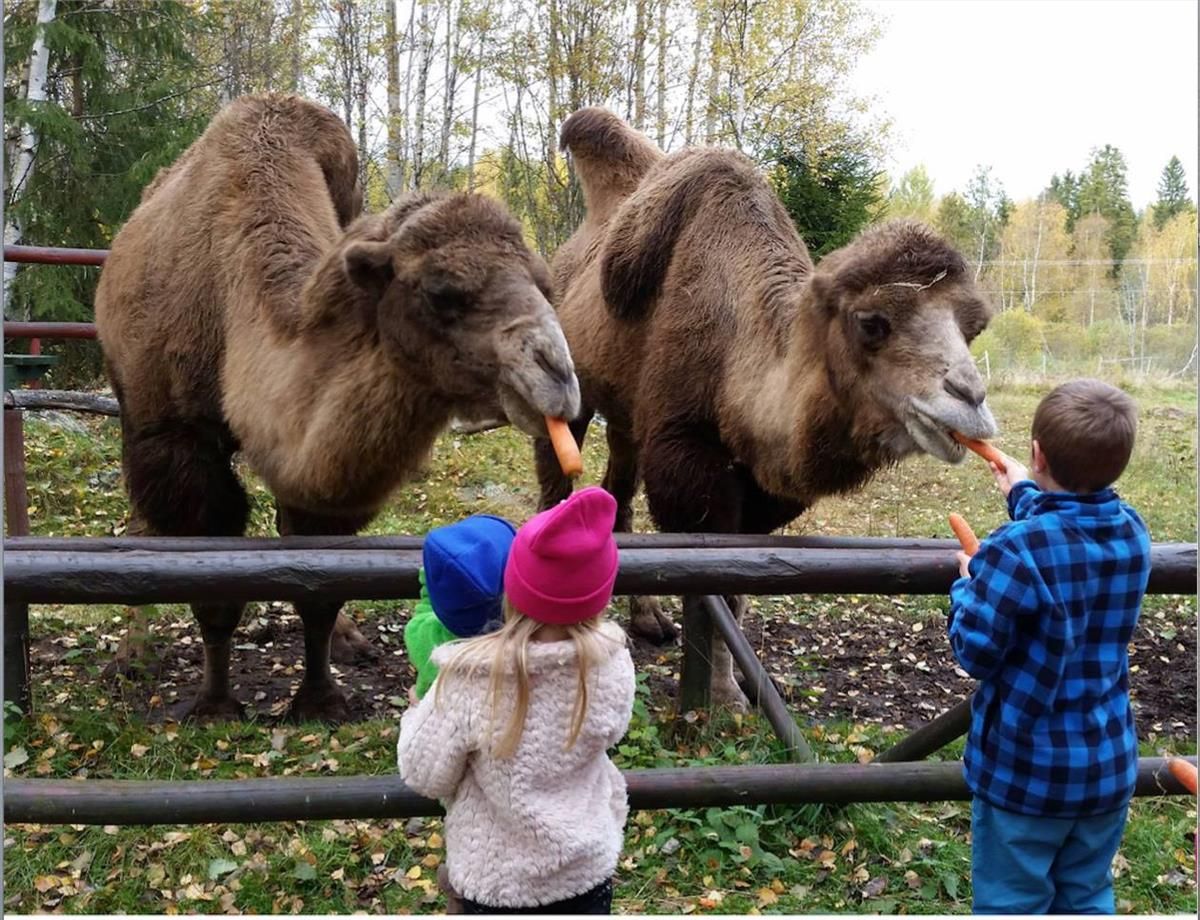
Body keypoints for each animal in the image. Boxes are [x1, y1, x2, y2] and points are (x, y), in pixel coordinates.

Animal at [96, 94, 580, 722]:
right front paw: (215, 703)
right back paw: (128, 654)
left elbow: (319, 579)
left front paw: (321, 697)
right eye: (441, 292)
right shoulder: (174, 440)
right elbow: (209, 582)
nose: (558, 376)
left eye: (544, 283)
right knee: (142, 521)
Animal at [535, 107, 996, 708]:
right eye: (871, 322)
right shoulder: (685, 456)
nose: (971, 398)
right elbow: (706, 583)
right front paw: (719, 697)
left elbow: (736, 588)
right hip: (571, 384)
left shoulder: (762, 490)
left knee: (618, 488)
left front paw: (736, 688)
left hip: (629, 415)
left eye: (973, 327)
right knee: (555, 474)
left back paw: (648, 620)